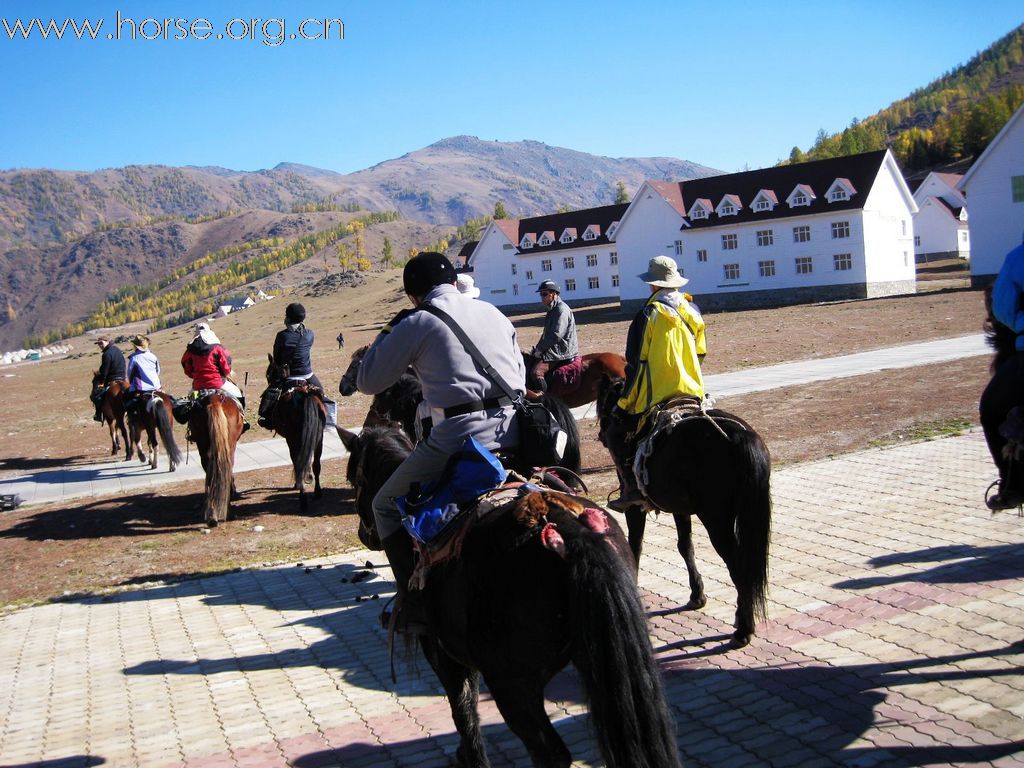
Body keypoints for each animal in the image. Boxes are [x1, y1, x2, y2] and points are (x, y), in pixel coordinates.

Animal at [266, 354, 325, 512]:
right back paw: (317, 492)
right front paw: (308, 476)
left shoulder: (290, 440)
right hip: (319, 438)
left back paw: (303, 499)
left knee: (298, 462)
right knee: (316, 463)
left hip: (294, 438)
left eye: (268, 373)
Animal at [339, 423, 684, 768]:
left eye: (353, 478)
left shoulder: (441, 651)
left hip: (514, 688)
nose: (364, 535)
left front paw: (469, 757)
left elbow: (463, 709)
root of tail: (568, 531)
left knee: (549, 752)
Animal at [598, 378, 770, 651]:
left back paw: (744, 628)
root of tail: (743, 438)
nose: (601, 433)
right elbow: (685, 546)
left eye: (606, 410)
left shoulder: (635, 508)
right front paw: (697, 595)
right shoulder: (680, 509)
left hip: (716, 519)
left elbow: (634, 546)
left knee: (737, 565)